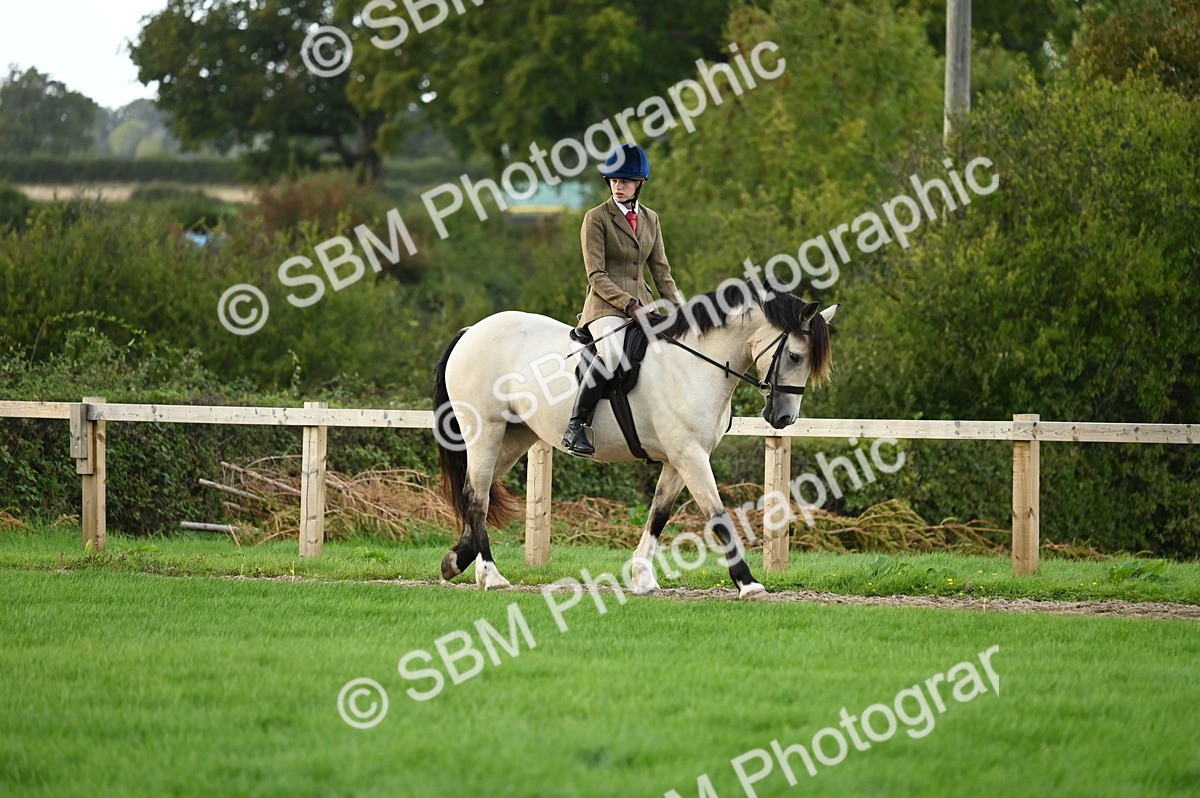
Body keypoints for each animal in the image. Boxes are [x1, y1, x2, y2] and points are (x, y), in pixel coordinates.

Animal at [432, 279, 837, 599]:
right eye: (795, 355)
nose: (784, 419)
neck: (695, 364)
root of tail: (471, 331)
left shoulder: (678, 459)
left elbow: (659, 514)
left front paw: (642, 578)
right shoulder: (691, 456)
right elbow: (718, 516)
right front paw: (748, 584)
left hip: (515, 437)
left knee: (477, 492)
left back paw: (457, 561)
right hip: (485, 431)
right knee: (477, 497)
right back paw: (491, 576)